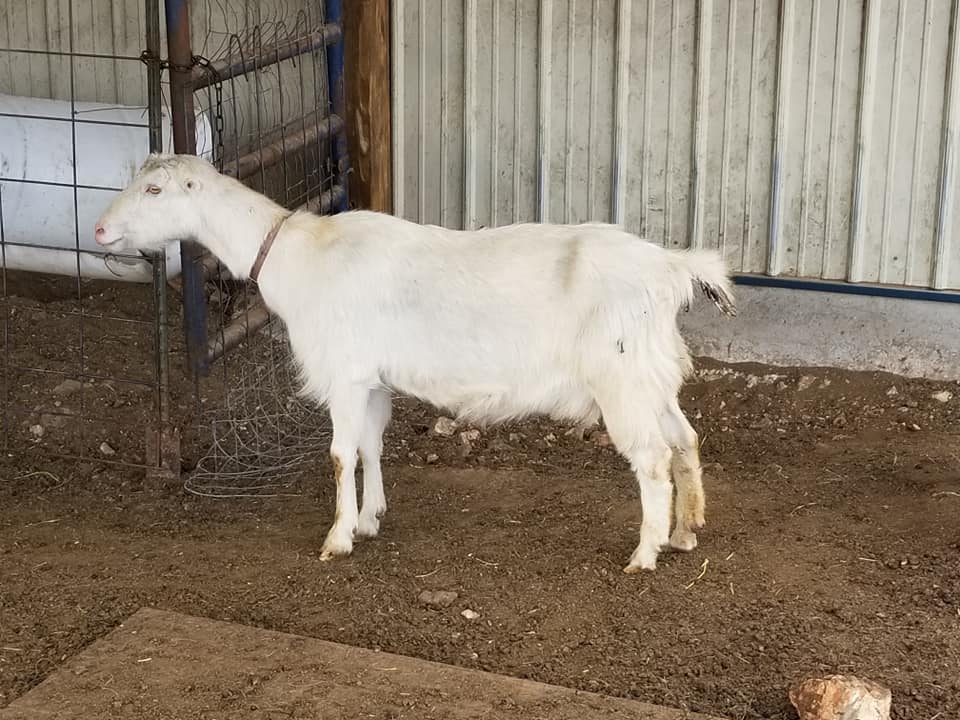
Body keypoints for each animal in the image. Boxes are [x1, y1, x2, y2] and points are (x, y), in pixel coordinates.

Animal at [95, 153, 736, 572]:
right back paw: (685, 533)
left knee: (652, 458)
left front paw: (337, 538)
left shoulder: (346, 372)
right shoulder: (372, 379)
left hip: (621, 377)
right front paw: (370, 518)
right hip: (653, 373)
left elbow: (338, 454)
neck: (300, 256)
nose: (99, 229)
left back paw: (645, 553)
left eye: (155, 192)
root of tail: (673, 268)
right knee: (685, 440)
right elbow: (371, 446)